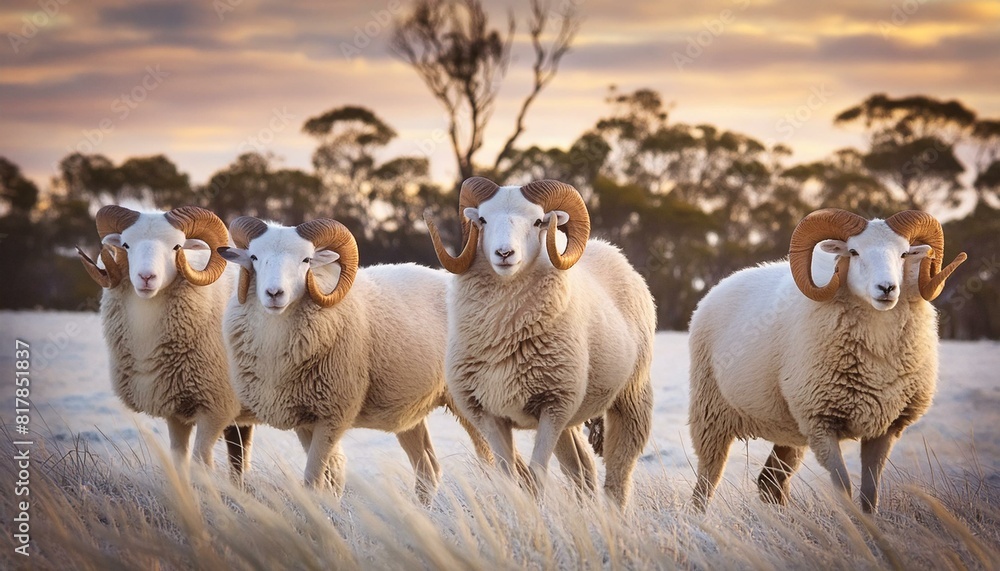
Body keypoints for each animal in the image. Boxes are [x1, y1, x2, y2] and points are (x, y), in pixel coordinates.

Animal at [77, 205, 256, 481]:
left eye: (177, 247)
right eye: (126, 245)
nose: (146, 277)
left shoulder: (216, 408)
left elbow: (200, 462)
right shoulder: (176, 411)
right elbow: (179, 460)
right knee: (239, 451)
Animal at [217, 216, 493, 503]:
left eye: (306, 260)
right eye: (254, 257)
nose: (274, 293)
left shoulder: (333, 416)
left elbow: (312, 478)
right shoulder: (304, 418)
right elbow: (327, 477)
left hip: (469, 401)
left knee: (492, 460)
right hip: (410, 413)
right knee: (429, 471)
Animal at [424, 177, 656, 509]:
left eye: (537, 222)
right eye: (482, 220)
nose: (504, 254)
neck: (504, 335)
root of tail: (611, 249)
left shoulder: (553, 407)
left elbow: (535, 477)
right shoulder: (489, 413)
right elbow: (509, 478)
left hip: (631, 396)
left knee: (620, 468)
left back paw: (614, 515)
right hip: (572, 416)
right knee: (581, 469)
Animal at [688, 208, 967, 512]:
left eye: (904, 254)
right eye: (853, 252)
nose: (887, 288)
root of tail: (723, 283)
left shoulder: (885, 428)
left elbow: (870, 493)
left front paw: (870, 525)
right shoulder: (821, 423)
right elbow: (844, 488)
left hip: (790, 430)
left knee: (770, 482)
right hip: (712, 415)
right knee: (707, 481)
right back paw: (699, 517)